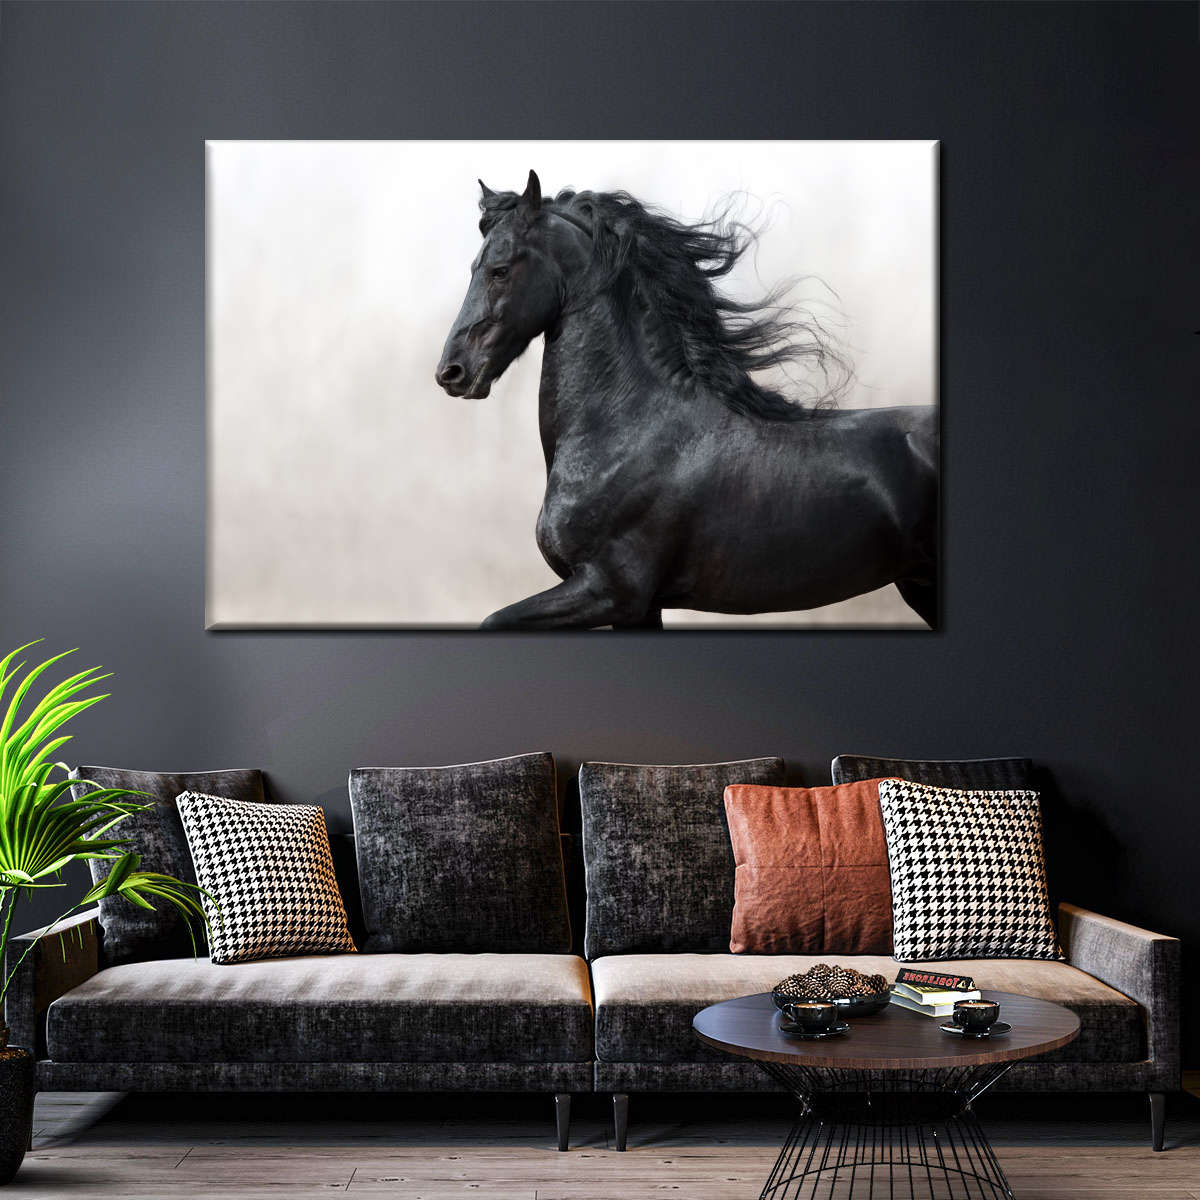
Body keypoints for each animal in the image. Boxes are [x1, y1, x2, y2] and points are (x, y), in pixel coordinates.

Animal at [435, 170, 938, 630]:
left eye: (500, 270)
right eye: (474, 268)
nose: (452, 372)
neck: (630, 426)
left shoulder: (610, 592)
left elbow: (493, 620)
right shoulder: (639, 608)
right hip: (919, 585)